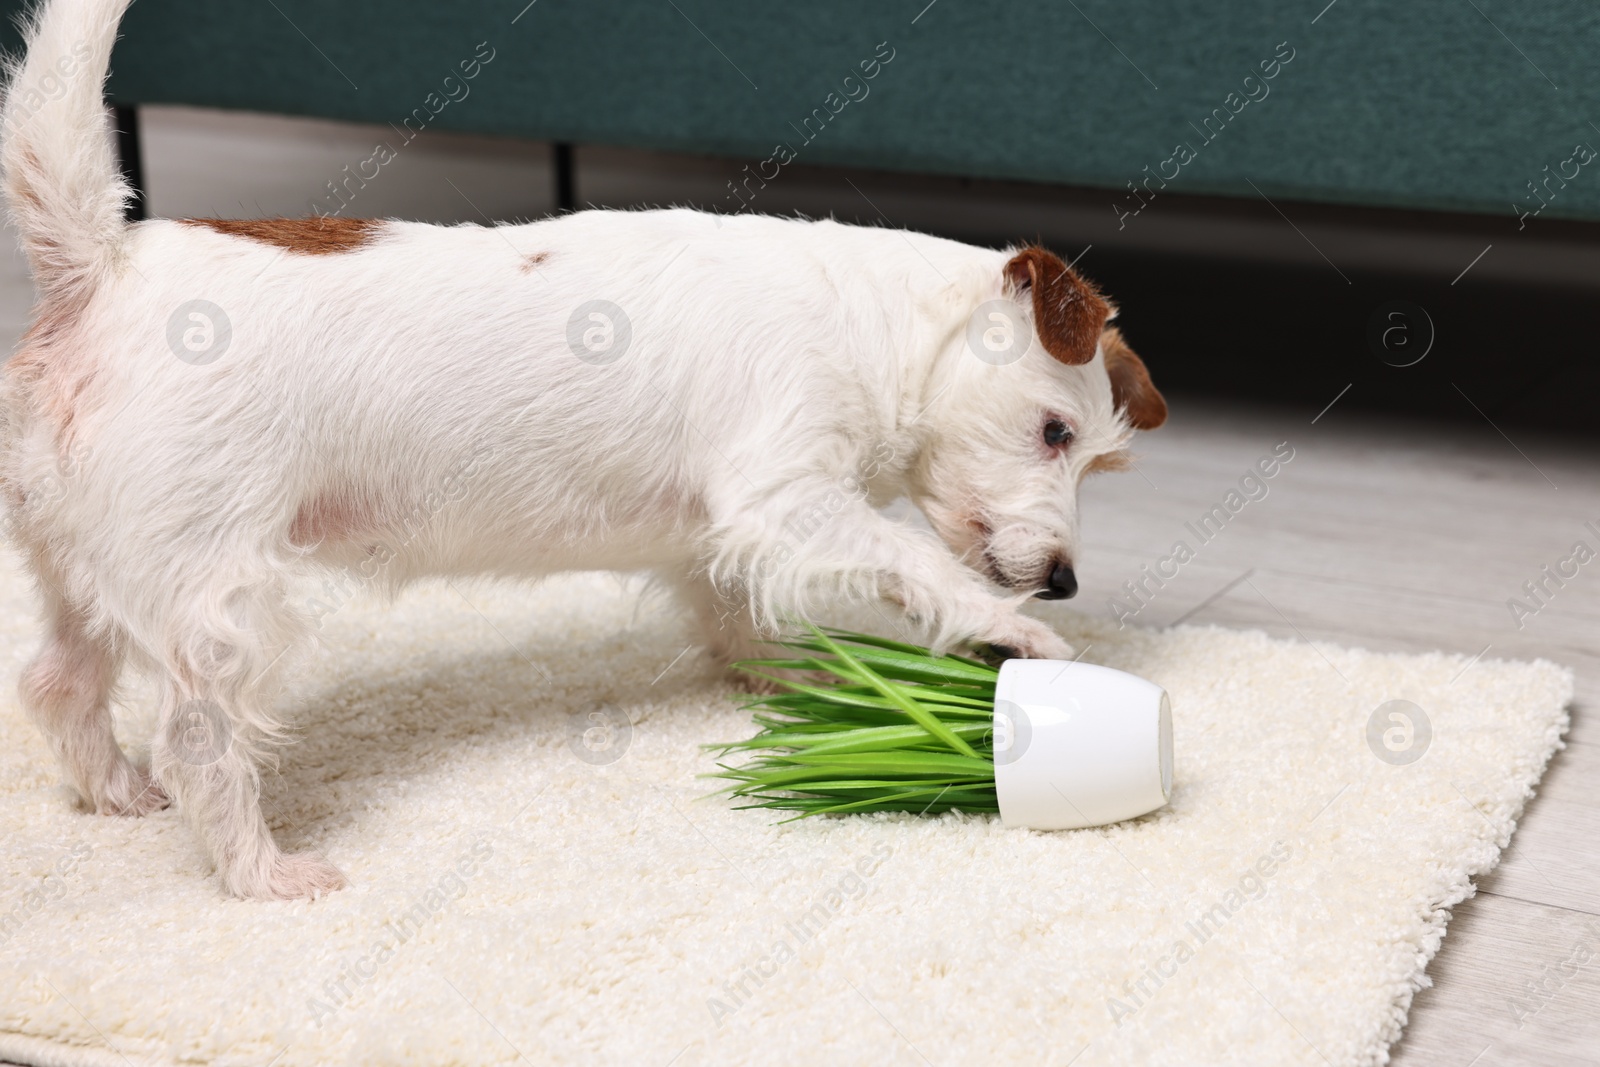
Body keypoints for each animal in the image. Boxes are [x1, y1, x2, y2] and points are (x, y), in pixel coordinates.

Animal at [0, 0, 1164, 902]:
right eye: (1054, 430)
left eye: (1095, 458)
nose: (1064, 579)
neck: (870, 319)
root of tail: (99, 270)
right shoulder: (787, 495)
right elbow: (914, 560)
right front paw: (1015, 635)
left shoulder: (719, 533)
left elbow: (733, 604)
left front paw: (792, 678)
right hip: (218, 601)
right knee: (198, 741)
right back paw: (261, 870)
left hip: (77, 563)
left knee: (57, 680)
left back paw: (111, 790)